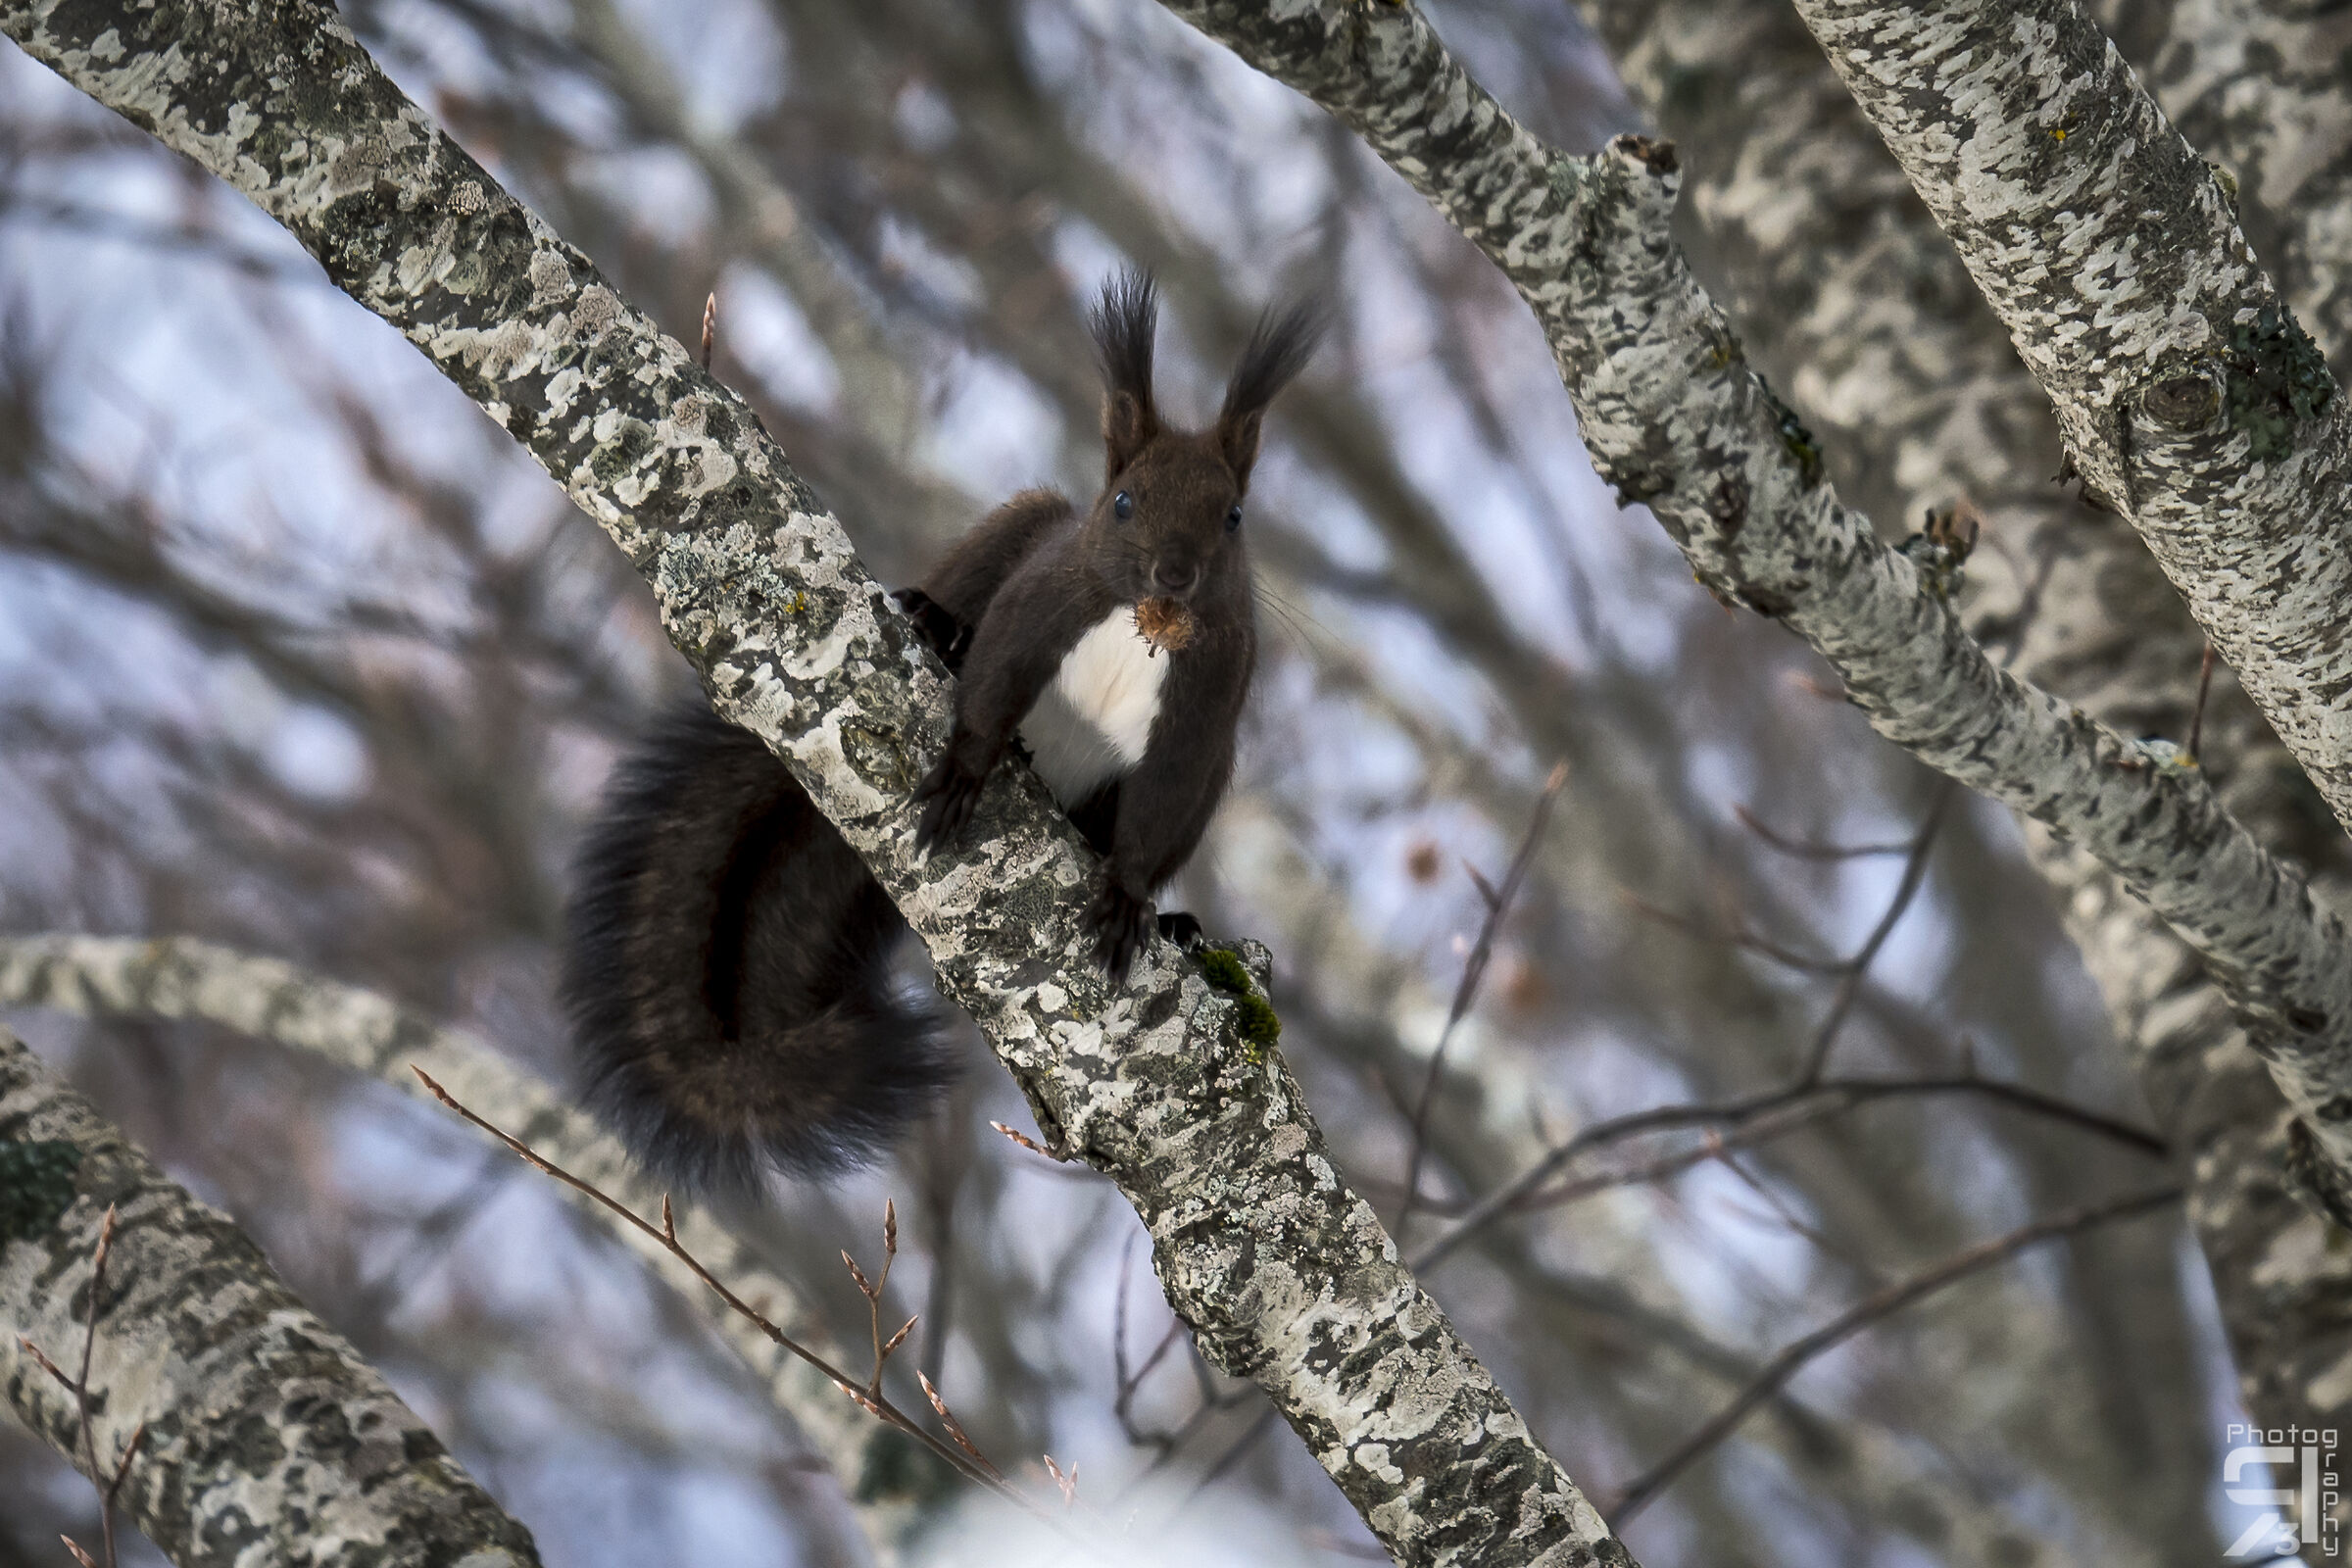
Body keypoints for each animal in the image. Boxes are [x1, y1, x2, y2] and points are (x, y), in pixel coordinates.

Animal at [560, 269, 1319, 1191]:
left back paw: (1174, 921)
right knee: (966, 610)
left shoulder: (1207, 711)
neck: (1142, 629)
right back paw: (936, 626)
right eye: (1124, 501)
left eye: (1235, 516)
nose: (1174, 575)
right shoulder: (1037, 603)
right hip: (1013, 530)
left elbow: (1163, 803)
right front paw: (965, 768)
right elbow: (993, 681)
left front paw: (1132, 898)